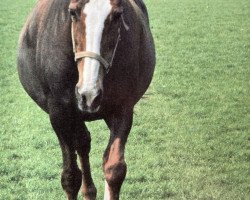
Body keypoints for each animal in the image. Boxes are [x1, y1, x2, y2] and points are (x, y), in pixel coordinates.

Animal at [17, 0, 154, 200]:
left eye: (118, 15)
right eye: (73, 13)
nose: (89, 93)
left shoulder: (123, 108)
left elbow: (114, 168)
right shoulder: (59, 114)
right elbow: (71, 177)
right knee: (82, 143)